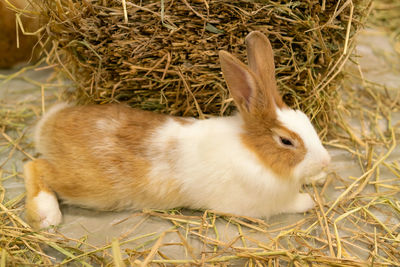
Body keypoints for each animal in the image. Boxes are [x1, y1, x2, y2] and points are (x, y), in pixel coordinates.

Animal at [24, 30, 332, 229]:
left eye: (307, 121)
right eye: (286, 142)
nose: (325, 161)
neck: (255, 152)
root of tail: (50, 123)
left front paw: (320, 177)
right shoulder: (259, 203)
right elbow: (294, 203)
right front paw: (307, 200)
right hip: (86, 184)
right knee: (36, 167)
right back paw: (46, 215)